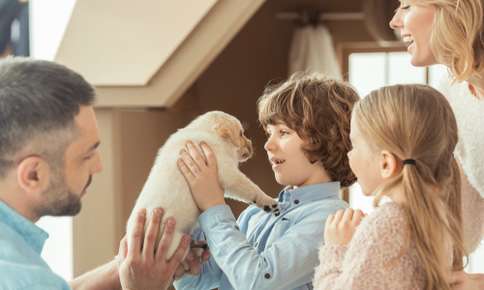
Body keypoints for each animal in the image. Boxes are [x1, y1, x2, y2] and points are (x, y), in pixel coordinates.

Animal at [126, 110, 278, 258]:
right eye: (241, 134)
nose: (251, 144)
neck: (208, 133)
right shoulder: (228, 173)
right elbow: (251, 188)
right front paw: (269, 202)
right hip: (174, 243)